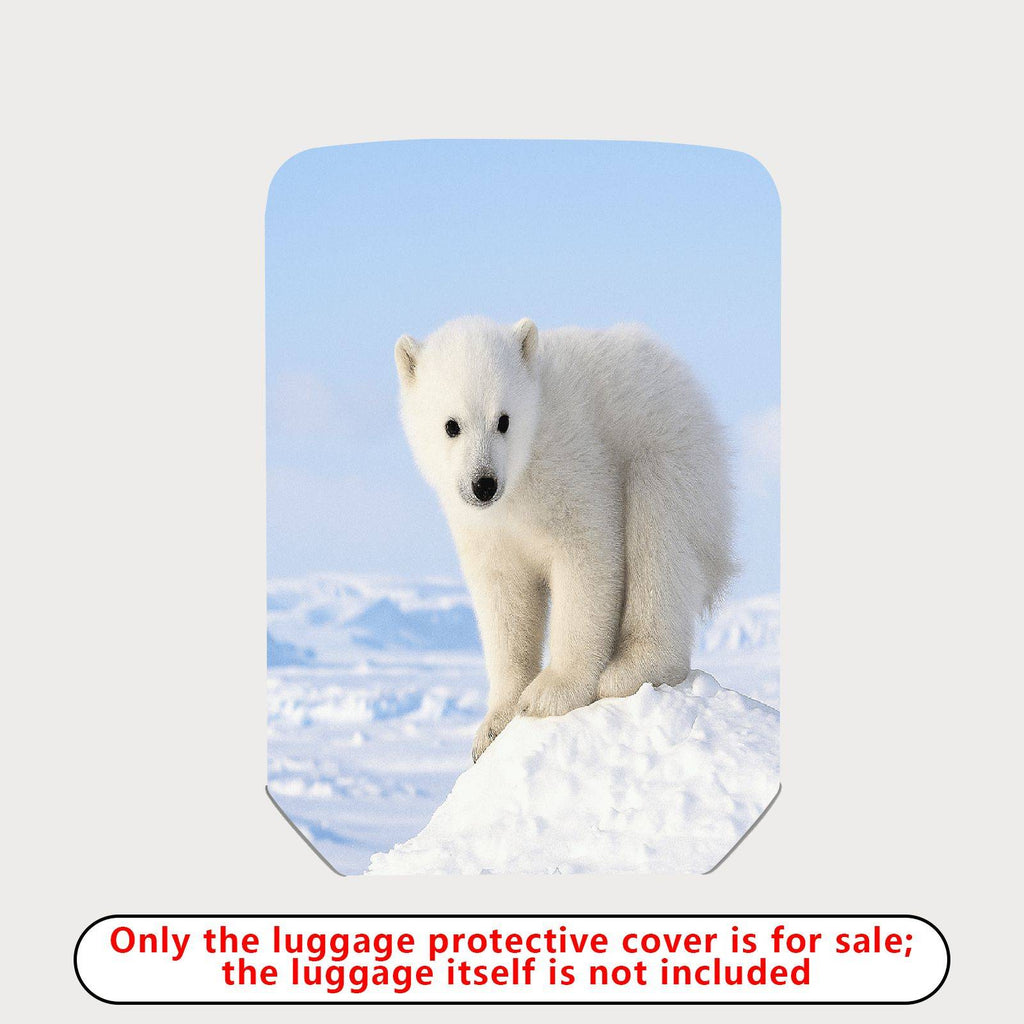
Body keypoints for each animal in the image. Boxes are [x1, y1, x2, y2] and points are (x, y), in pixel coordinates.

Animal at [395, 316, 735, 761]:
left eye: (503, 420)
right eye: (452, 425)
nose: (483, 484)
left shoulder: (573, 461)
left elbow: (587, 555)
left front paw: (548, 695)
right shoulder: (486, 527)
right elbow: (504, 597)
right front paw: (492, 727)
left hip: (669, 458)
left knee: (659, 543)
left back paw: (627, 671)